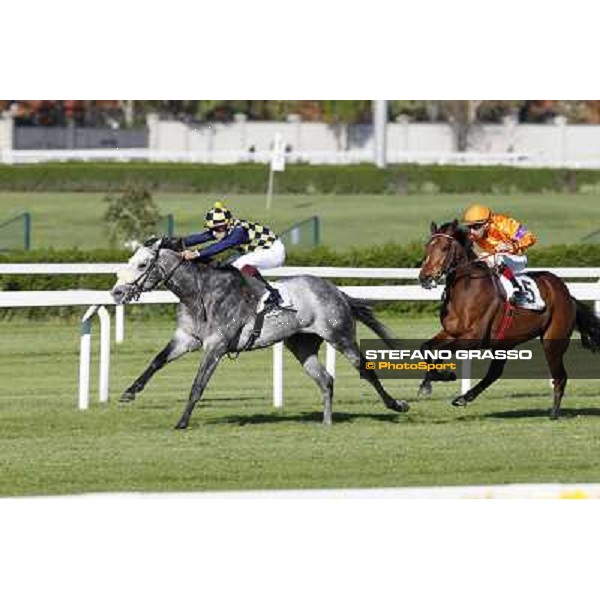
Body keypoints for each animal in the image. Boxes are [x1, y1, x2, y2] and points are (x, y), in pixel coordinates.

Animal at [109, 237, 408, 428]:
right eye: (131, 259)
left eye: (142, 264)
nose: (116, 292)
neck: (200, 293)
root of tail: (337, 291)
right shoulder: (186, 338)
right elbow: (157, 361)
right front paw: (129, 392)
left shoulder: (216, 345)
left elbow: (198, 384)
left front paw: (182, 422)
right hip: (302, 345)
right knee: (326, 379)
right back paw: (326, 422)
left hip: (340, 335)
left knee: (365, 370)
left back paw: (396, 405)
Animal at [418, 219, 600, 418]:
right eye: (427, 247)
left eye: (444, 248)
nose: (425, 277)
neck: (467, 289)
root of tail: (566, 294)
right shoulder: (451, 332)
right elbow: (427, 348)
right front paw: (429, 382)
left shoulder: (473, 338)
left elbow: (440, 351)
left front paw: (442, 376)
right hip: (505, 342)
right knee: (495, 372)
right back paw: (464, 397)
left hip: (552, 341)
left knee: (560, 376)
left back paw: (553, 413)